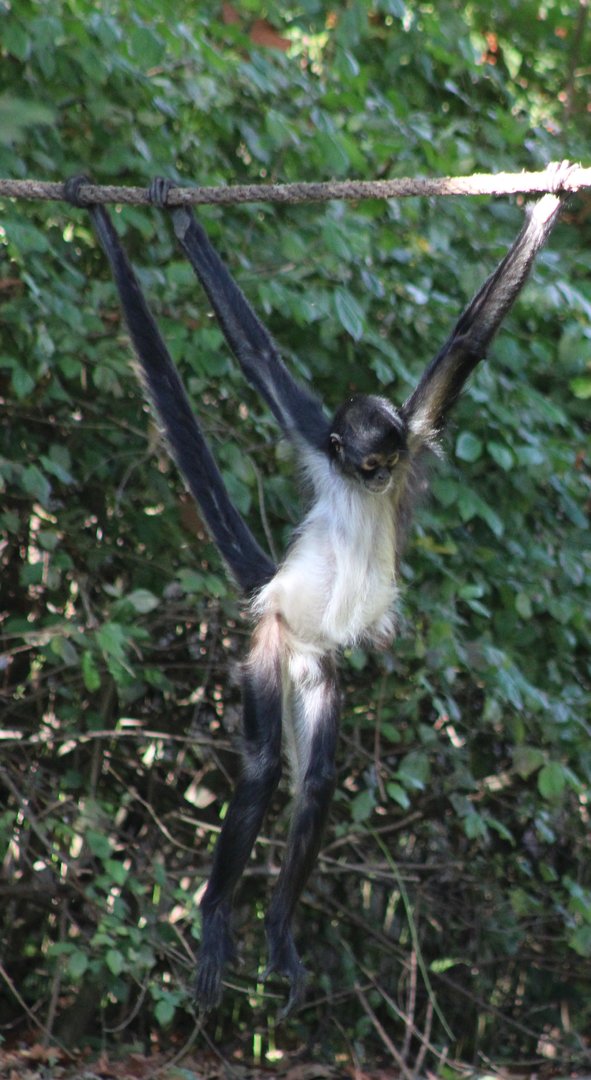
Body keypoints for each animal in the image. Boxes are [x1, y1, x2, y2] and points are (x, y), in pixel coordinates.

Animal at [65, 161, 571, 1014]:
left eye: (389, 465)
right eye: (366, 464)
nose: (382, 479)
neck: (358, 478)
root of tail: (293, 630)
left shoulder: (414, 425)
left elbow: (466, 344)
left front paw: (544, 208)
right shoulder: (317, 435)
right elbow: (257, 358)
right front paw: (182, 226)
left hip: (318, 671)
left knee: (317, 779)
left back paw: (276, 930)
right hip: (270, 645)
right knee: (267, 763)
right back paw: (216, 919)